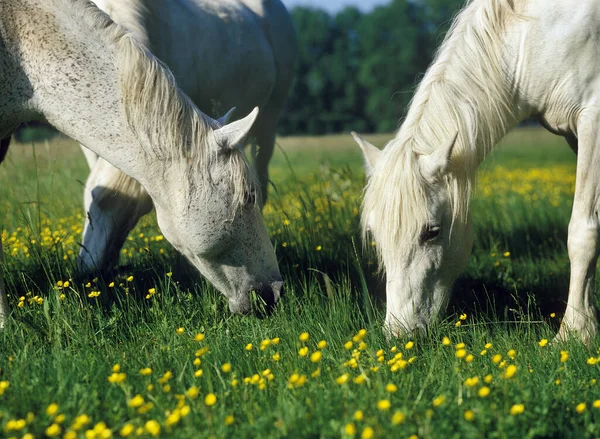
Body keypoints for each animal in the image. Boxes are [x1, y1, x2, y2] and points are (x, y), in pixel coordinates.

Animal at [354, 0, 600, 342]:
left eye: (432, 232)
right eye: (376, 235)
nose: (400, 333)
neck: (537, 33)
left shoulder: (593, 121)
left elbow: (582, 231)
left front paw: (575, 332)